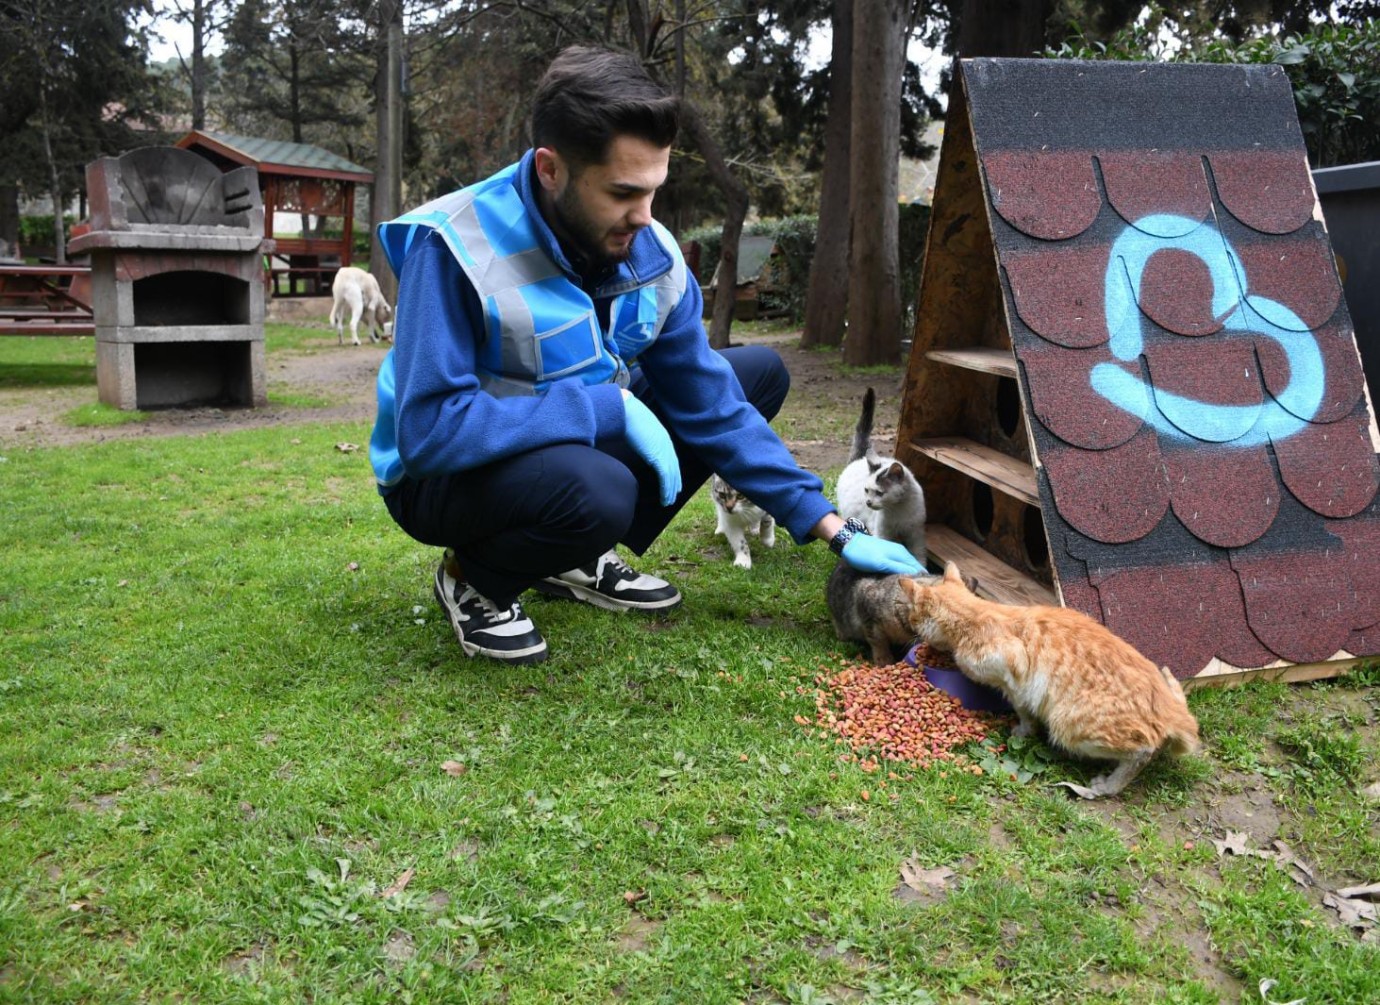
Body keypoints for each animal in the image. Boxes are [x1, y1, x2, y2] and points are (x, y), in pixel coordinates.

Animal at [828, 386, 927, 566]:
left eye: (880, 493)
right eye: (866, 490)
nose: (868, 502)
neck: (897, 510)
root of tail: (859, 459)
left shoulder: (915, 534)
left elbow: (919, 555)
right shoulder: (883, 533)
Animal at [899, 560, 1203, 795]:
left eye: (913, 618)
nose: (911, 631)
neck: (976, 616)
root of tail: (1170, 708)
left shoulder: (1014, 680)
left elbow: (1024, 711)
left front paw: (1022, 731)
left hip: (1067, 724)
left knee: (1143, 752)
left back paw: (1107, 786)